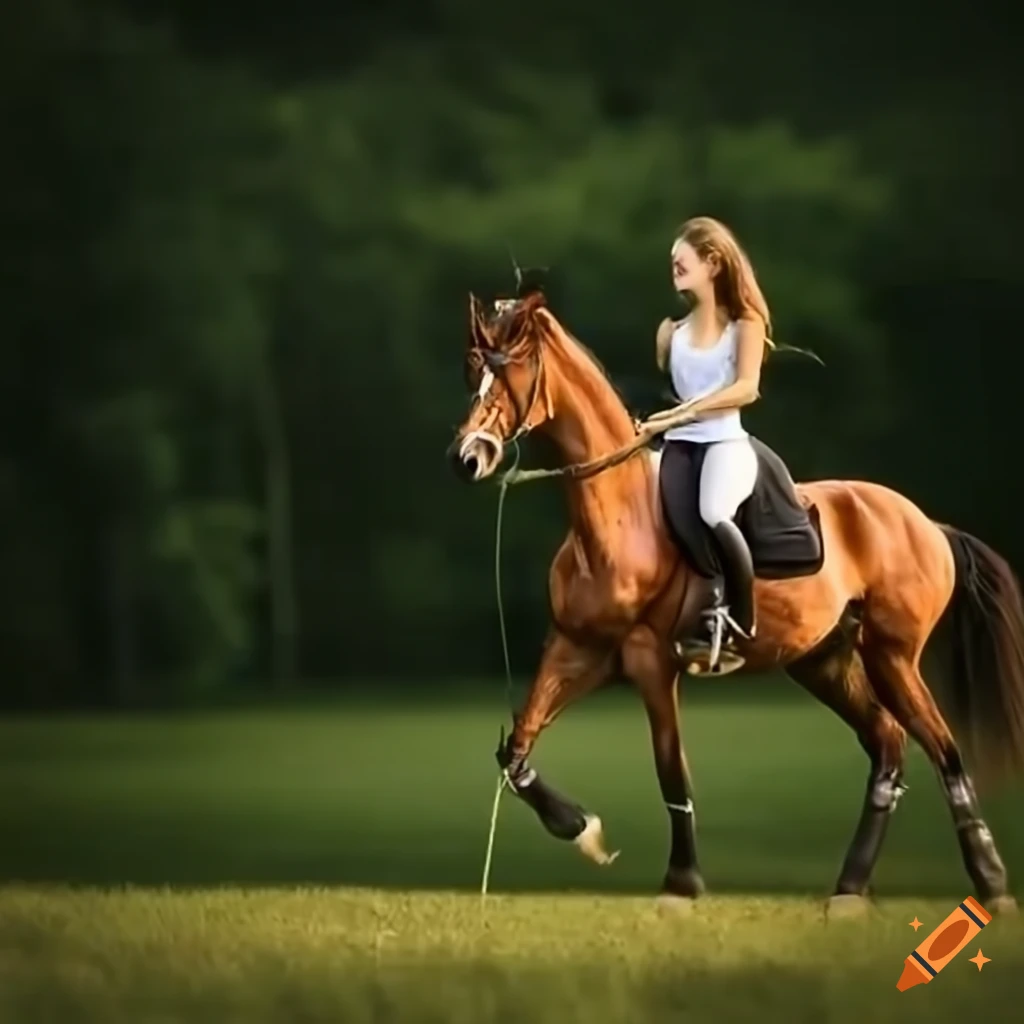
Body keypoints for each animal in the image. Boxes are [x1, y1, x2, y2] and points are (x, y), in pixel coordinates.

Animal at [445, 285, 1024, 914]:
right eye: (473, 369)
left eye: (513, 370)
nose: (466, 458)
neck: (618, 517)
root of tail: (926, 523)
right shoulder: (576, 650)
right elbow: (517, 748)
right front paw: (584, 831)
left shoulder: (652, 664)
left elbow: (671, 772)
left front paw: (681, 884)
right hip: (826, 662)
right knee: (889, 748)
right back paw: (849, 890)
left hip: (892, 658)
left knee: (944, 752)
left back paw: (992, 885)